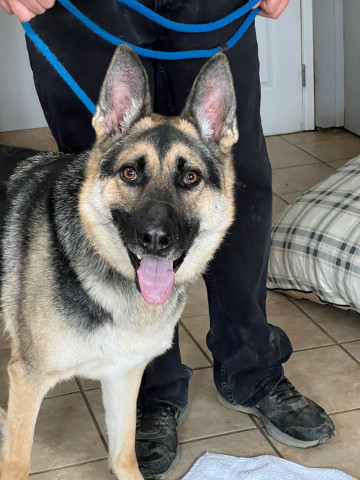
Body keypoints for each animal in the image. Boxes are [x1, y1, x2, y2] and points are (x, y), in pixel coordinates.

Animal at [0, 46, 238, 480]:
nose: (156, 240)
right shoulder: (27, 379)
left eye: (191, 178)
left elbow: (123, 453)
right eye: (129, 173)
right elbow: (17, 462)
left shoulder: (124, 376)